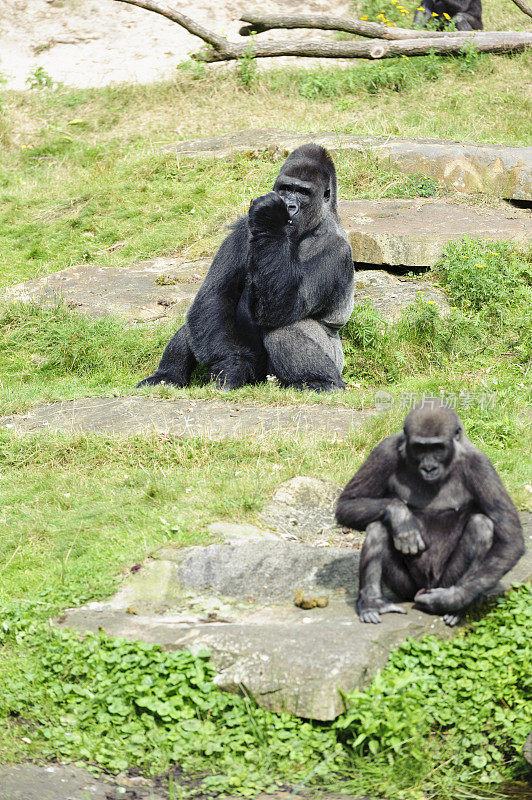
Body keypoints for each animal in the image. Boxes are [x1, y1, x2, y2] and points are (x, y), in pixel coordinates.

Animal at [138, 145, 354, 396]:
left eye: (303, 192)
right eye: (285, 188)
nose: (289, 206)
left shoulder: (335, 248)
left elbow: (284, 306)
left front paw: (271, 217)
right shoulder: (244, 228)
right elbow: (214, 297)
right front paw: (233, 366)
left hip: (325, 363)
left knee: (284, 326)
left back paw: (321, 381)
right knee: (197, 323)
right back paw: (166, 376)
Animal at [336, 406, 524, 624]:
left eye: (438, 448)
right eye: (419, 448)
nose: (429, 467)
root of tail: (425, 587)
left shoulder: (480, 465)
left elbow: (510, 538)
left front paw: (451, 599)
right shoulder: (384, 451)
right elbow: (348, 503)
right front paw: (401, 517)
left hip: (442, 582)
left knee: (481, 525)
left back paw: (456, 606)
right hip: (408, 589)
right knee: (378, 526)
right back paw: (372, 601)